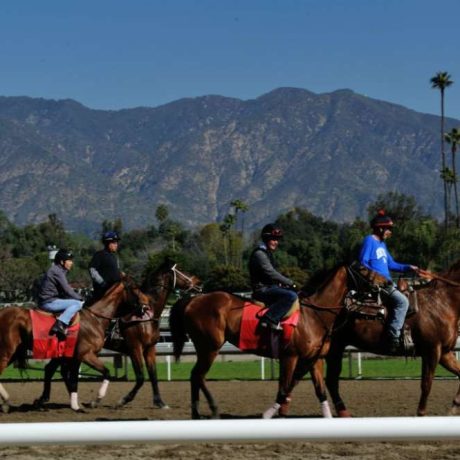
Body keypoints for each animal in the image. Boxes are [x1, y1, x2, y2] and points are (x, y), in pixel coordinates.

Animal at [0, 276, 148, 414]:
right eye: (135, 288)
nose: (145, 308)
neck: (94, 319)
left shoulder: (68, 357)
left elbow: (61, 374)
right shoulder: (84, 355)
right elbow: (87, 376)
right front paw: (89, 402)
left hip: (15, 352)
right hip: (7, 351)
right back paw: (6, 401)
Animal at [34, 262, 201, 410]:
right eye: (180, 269)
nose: (198, 282)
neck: (145, 316)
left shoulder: (149, 348)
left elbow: (153, 375)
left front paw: (160, 402)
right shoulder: (134, 348)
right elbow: (140, 377)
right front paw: (122, 400)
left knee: (52, 369)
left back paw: (47, 399)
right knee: (55, 370)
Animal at [167, 268, 350, 418]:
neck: (313, 315)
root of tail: (193, 300)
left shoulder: (314, 358)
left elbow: (320, 390)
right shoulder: (290, 356)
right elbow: (284, 389)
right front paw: (270, 414)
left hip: (206, 348)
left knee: (196, 376)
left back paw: (197, 414)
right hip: (209, 347)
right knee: (198, 375)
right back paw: (211, 410)